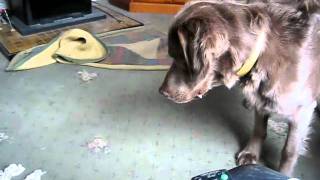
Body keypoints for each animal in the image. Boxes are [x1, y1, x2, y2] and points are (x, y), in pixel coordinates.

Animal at [159, 0, 320, 176]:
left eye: (181, 58)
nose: (162, 92)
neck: (261, 50)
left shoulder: (302, 111)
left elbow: (289, 151)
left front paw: (281, 174)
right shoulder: (261, 97)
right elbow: (259, 129)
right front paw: (251, 153)